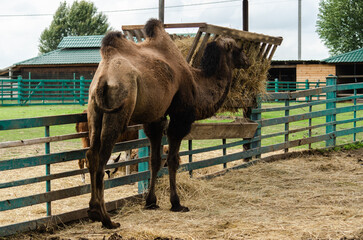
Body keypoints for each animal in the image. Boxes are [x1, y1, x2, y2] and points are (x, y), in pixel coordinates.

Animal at [86, 18, 250, 229]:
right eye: (238, 48)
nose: (247, 61)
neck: (197, 82)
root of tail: (103, 78)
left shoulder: (155, 119)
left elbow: (155, 160)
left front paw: (151, 202)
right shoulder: (181, 117)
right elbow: (173, 159)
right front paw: (176, 203)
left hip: (94, 111)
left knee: (91, 154)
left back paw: (92, 211)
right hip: (117, 109)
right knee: (102, 159)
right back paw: (106, 219)